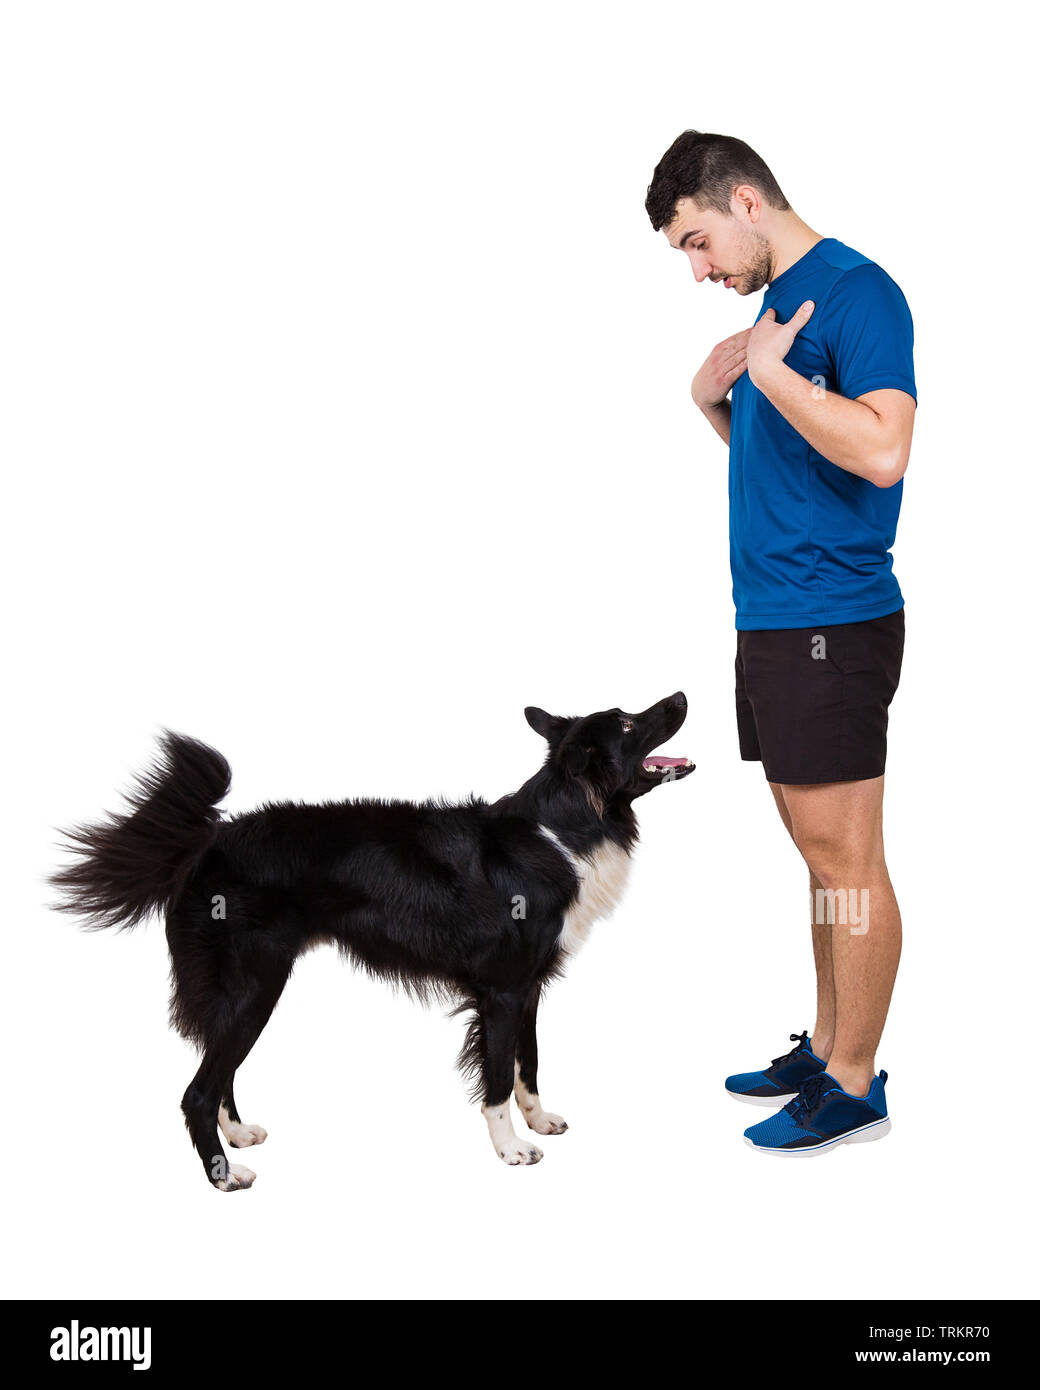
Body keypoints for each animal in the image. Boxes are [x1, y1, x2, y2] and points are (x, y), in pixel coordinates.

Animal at [52, 700, 695, 1189]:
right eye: (630, 724)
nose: (682, 696)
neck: (563, 826)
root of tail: (208, 841)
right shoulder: (502, 991)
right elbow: (495, 1077)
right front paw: (510, 1148)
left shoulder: (530, 988)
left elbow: (528, 1065)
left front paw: (540, 1121)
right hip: (257, 983)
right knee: (197, 1090)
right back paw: (224, 1174)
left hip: (245, 989)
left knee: (218, 1071)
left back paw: (237, 1134)